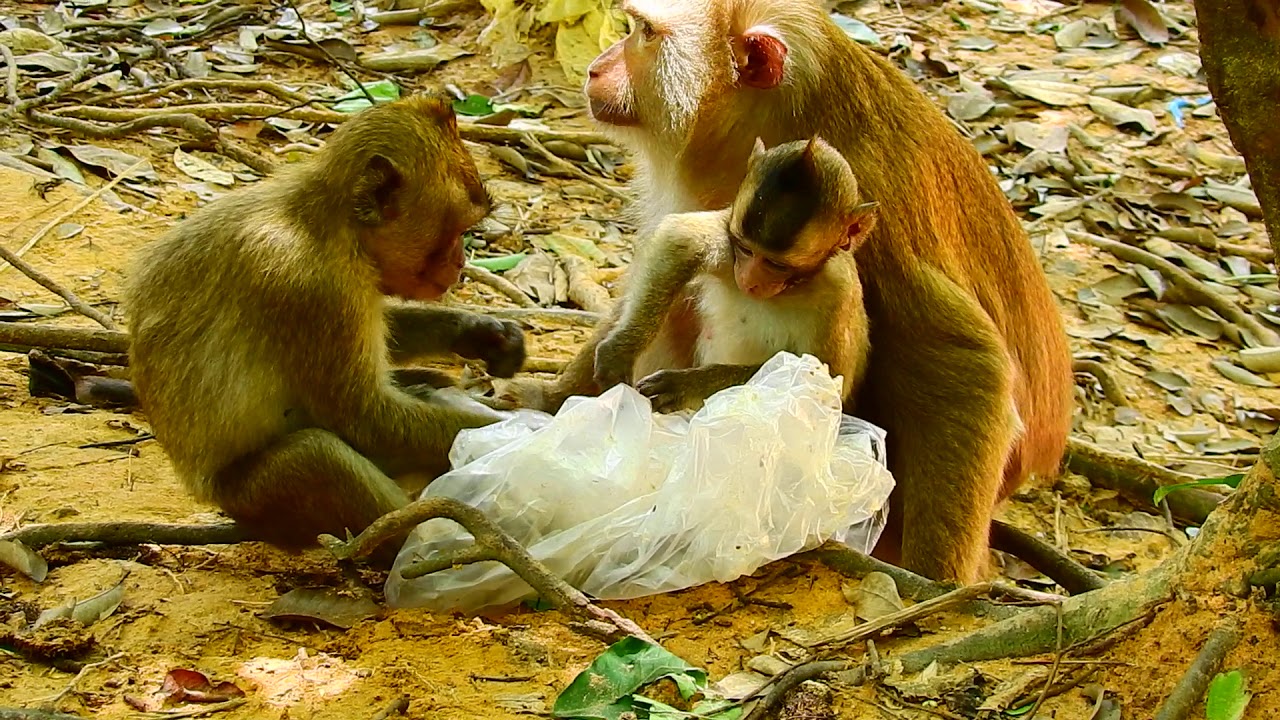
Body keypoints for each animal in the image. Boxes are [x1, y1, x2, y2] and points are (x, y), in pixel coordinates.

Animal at [125, 94, 526, 551]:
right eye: (456, 230)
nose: (459, 263)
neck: (332, 223)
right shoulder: (312, 287)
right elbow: (364, 420)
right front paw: (521, 434)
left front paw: (482, 333)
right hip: (257, 499)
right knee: (317, 455)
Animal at [592, 136, 876, 413]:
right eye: (745, 249)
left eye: (777, 265)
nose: (749, 281)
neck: (795, 285)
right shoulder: (731, 240)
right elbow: (680, 237)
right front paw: (622, 349)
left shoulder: (837, 292)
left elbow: (821, 384)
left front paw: (684, 385)